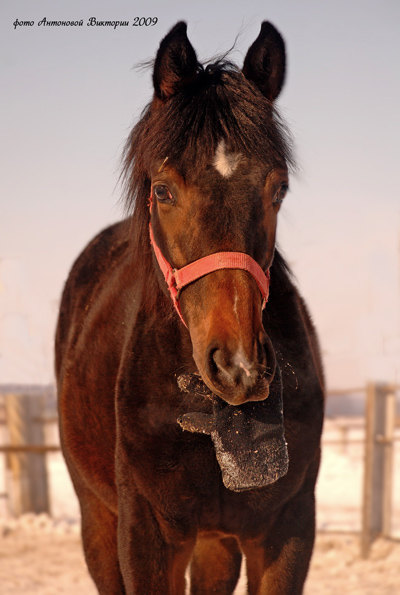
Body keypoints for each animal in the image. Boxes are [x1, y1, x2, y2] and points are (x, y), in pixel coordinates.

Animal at [55, 19, 324, 595]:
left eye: (279, 189)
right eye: (163, 190)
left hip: (215, 542)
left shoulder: (287, 531)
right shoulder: (145, 539)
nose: (239, 368)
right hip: (97, 521)